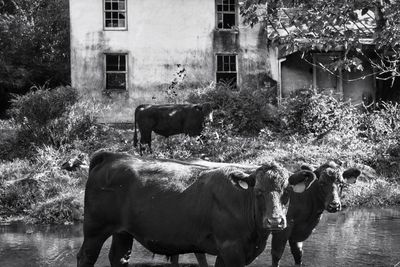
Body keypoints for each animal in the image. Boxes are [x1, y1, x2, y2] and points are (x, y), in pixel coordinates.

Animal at [77, 152, 316, 266]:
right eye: (258, 191)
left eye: (287, 191)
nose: (275, 221)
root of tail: (112, 156)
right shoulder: (231, 247)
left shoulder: (229, 251)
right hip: (95, 228)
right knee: (85, 257)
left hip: (123, 232)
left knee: (119, 258)